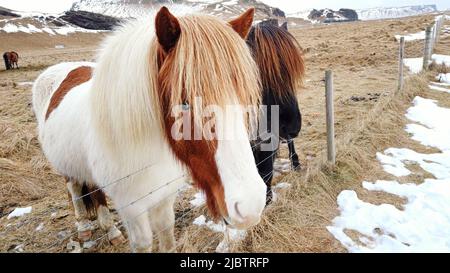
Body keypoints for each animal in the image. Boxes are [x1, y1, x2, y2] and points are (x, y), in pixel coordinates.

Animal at [31, 7, 268, 252]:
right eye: (184, 102)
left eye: (243, 96)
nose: (250, 205)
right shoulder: (131, 207)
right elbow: (143, 242)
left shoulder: (165, 196)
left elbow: (166, 231)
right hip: (67, 169)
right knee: (76, 191)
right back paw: (84, 228)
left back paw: (111, 230)